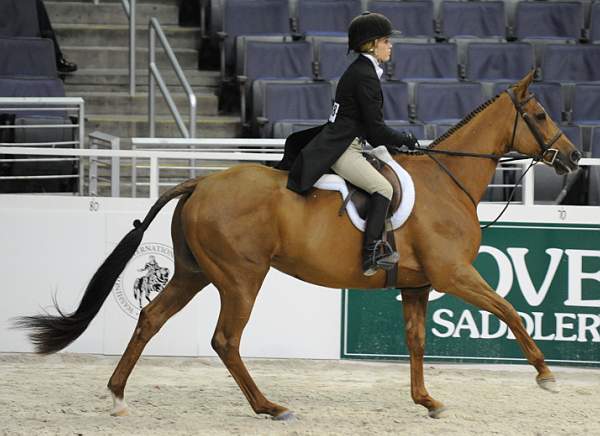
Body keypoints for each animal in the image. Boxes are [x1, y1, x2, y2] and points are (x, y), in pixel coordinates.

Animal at [16, 71, 580, 418]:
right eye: (541, 115)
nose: (574, 159)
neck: (449, 180)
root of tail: (200, 182)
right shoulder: (453, 274)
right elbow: (510, 311)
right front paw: (546, 375)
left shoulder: (419, 284)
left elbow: (417, 342)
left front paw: (427, 400)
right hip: (241, 277)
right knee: (225, 340)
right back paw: (270, 407)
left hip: (195, 272)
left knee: (151, 319)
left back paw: (117, 395)